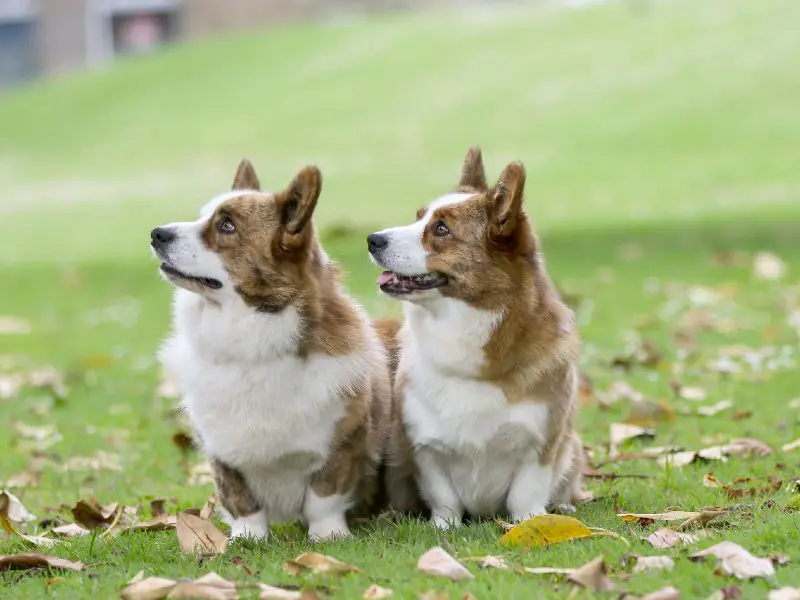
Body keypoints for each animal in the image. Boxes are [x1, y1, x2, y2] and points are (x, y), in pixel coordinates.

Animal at [151, 159, 400, 544]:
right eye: (203, 215)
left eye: (226, 225)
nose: (156, 234)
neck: (253, 345)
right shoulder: (221, 454)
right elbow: (241, 500)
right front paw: (247, 538)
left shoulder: (343, 443)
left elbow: (324, 498)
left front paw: (327, 536)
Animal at [368, 148, 580, 528]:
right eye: (418, 217)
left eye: (441, 228)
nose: (372, 239)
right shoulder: (425, 448)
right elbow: (444, 497)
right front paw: (443, 528)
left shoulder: (541, 444)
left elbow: (526, 495)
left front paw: (532, 523)